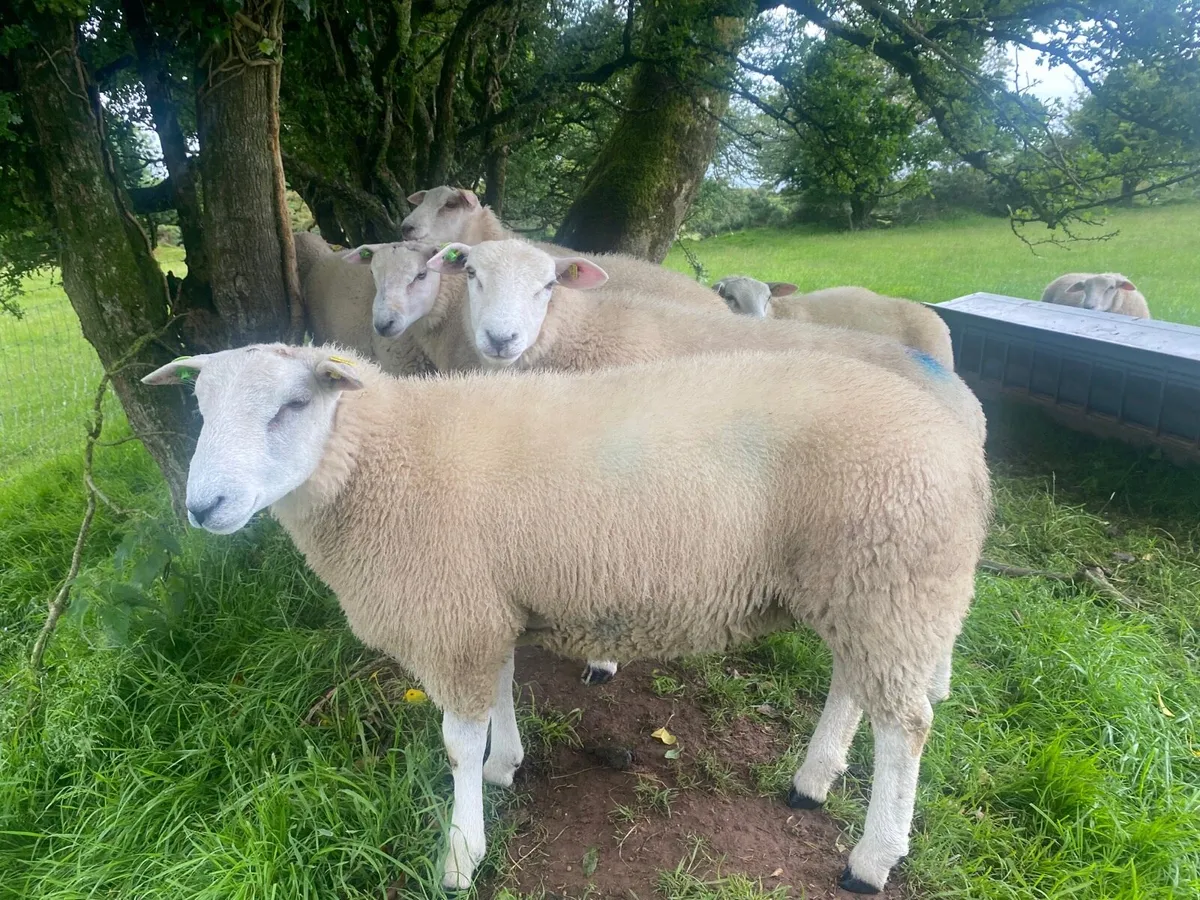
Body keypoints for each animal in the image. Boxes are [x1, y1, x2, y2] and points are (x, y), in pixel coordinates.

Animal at [143, 341, 991, 895]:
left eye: (292, 406)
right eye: (200, 407)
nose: (204, 506)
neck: (380, 463)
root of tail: (959, 438)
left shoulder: (454, 619)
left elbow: (455, 745)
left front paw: (461, 854)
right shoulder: (487, 608)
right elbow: (501, 697)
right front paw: (506, 765)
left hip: (891, 579)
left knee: (906, 726)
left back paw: (872, 858)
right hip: (860, 586)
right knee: (856, 687)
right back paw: (814, 779)